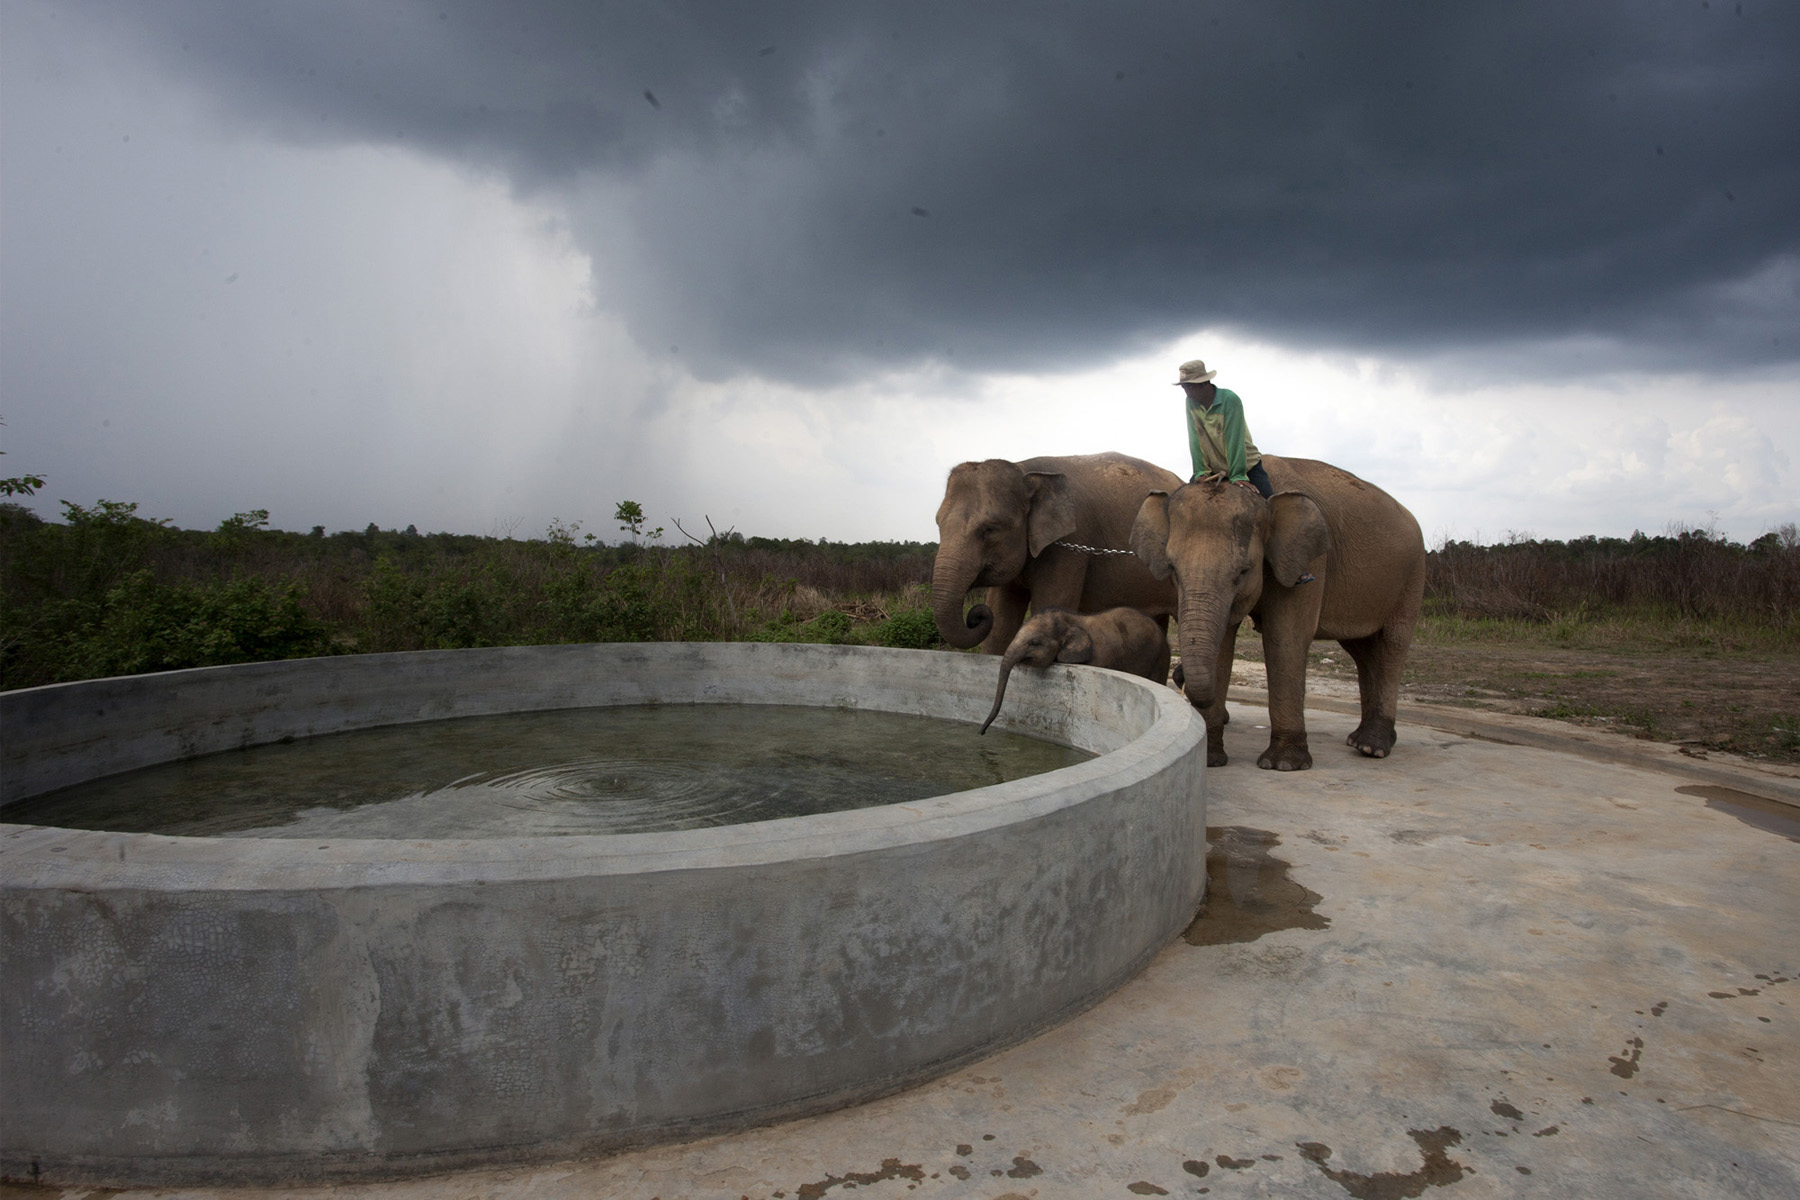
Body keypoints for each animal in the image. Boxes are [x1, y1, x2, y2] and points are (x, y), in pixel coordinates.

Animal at [936, 453, 1188, 658]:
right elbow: (1000, 622)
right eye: (938, 523)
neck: (1025, 470)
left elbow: (1048, 606)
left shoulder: (1071, 542)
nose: (975, 614)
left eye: (989, 529)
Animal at [1130, 455, 1425, 773]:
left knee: (1392, 645)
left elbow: (1286, 636)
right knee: (1363, 650)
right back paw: (1361, 741)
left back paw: (1372, 746)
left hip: (1413, 576)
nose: (1180, 677)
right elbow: (1225, 640)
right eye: (1172, 569)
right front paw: (1210, 760)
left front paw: (1283, 764)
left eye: (1243, 571)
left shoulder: (1310, 562)